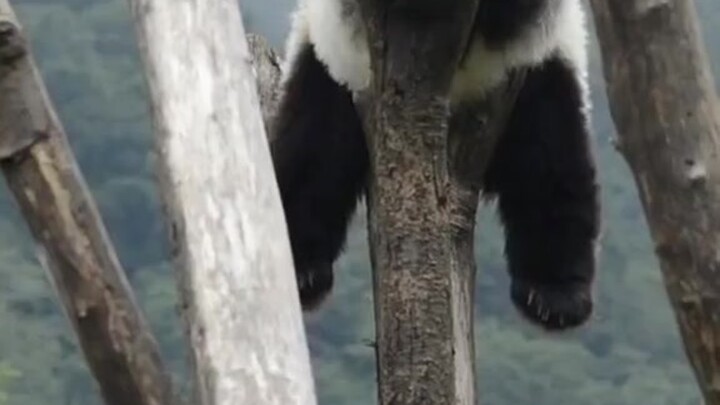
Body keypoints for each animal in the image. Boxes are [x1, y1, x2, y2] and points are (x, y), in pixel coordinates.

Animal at [269, 0, 601, 331]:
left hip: (538, 70)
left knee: (550, 163)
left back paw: (554, 296)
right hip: (334, 64)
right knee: (312, 152)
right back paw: (303, 272)